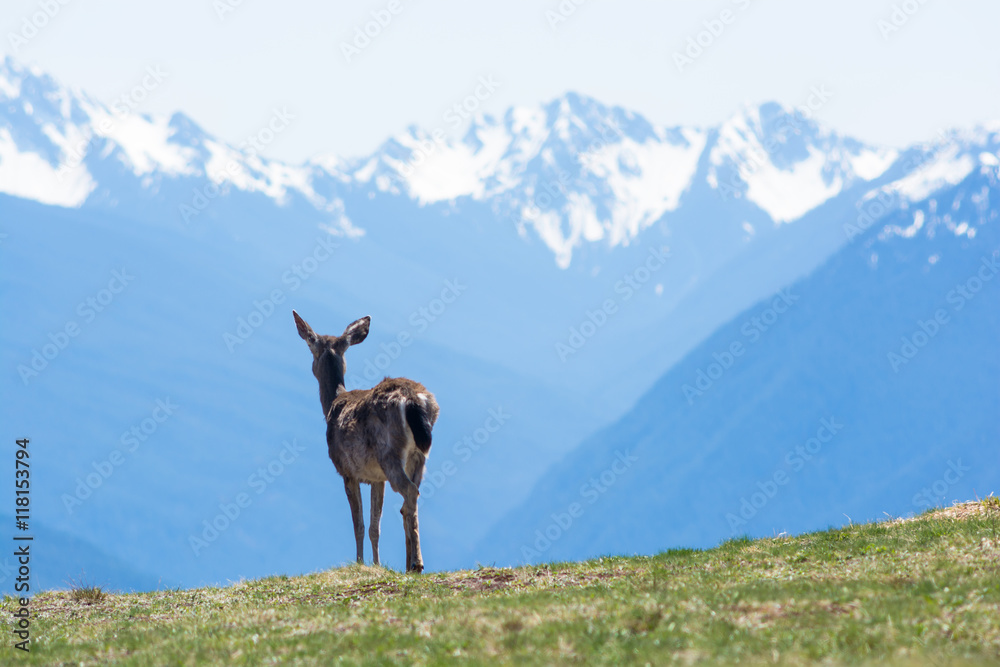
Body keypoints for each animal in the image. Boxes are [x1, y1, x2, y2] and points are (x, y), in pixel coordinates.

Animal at [292, 311, 439, 573]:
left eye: (311, 347)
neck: (332, 404)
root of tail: (415, 400)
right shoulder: (376, 477)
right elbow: (375, 526)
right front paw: (377, 563)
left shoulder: (347, 470)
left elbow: (359, 525)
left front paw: (360, 562)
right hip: (419, 456)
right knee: (411, 499)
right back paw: (409, 563)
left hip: (389, 452)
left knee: (409, 492)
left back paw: (417, 563)